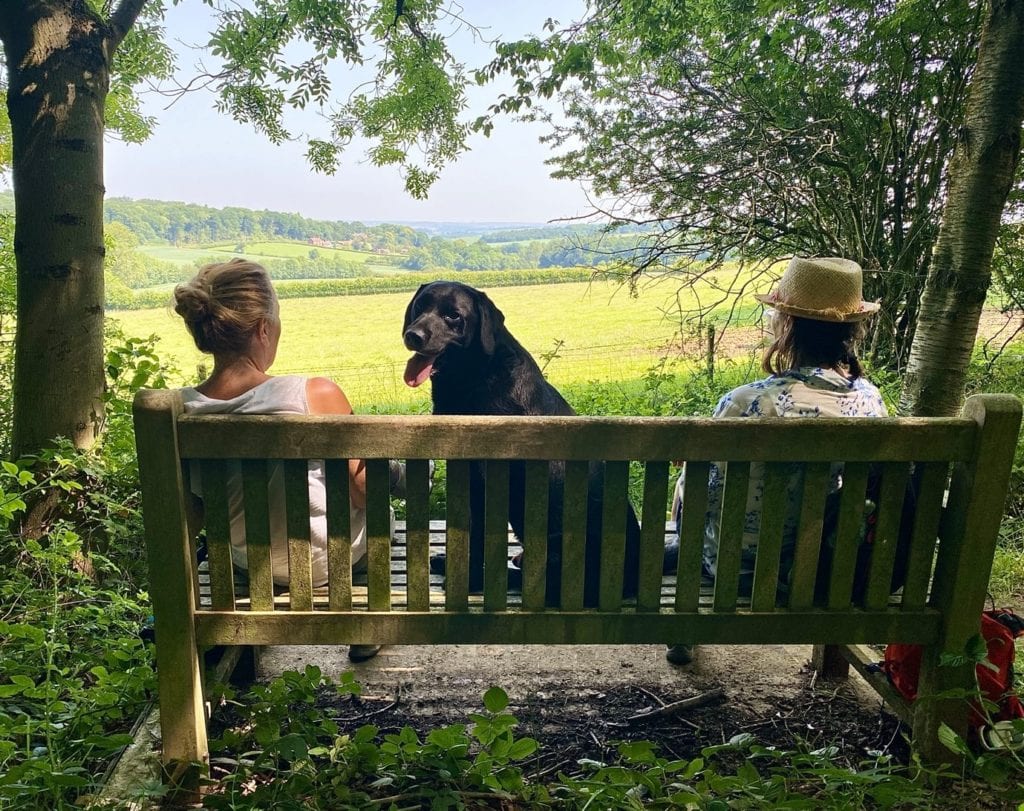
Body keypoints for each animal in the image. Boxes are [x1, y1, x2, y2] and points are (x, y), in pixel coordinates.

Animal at [399, 282, 638, 606]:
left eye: (453, 316)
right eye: (420, 307)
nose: (413, 335)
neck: (478, 375)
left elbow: (478, 540)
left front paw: (469, 581)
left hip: (556, 546)